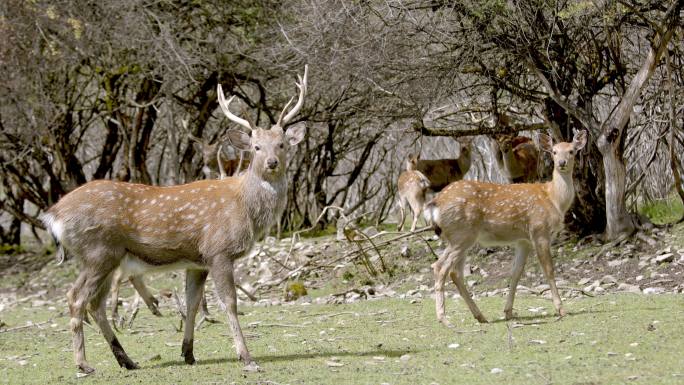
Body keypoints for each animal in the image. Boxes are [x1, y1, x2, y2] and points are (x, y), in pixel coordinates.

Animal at [41, 65, 308, 372]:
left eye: (282, 144)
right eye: (255, 147)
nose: (272, 163)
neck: (245, 207)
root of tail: (53, 216)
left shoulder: (197, 261)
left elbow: (193, 303)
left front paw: (188, 353)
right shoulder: (219, 250)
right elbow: (229, 302)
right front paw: (246, 356)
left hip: (107, 258)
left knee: (95, 304)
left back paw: (126, 360)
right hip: (97, 252)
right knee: (76, 298)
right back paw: (84, 364)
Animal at [422, 130, 588, 324]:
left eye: (571, 151)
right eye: (554, 152)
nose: (561, 163)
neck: (554, 199)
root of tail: (435, 204)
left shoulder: (523, 240)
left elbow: (516, 273)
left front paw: (508, 311)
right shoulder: (539, 230)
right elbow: (549, 270)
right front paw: (561, 309)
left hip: (459, 238)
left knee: (455, 273)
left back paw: (480, 316)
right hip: (462, 234)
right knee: (440, 267)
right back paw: (444, 318)